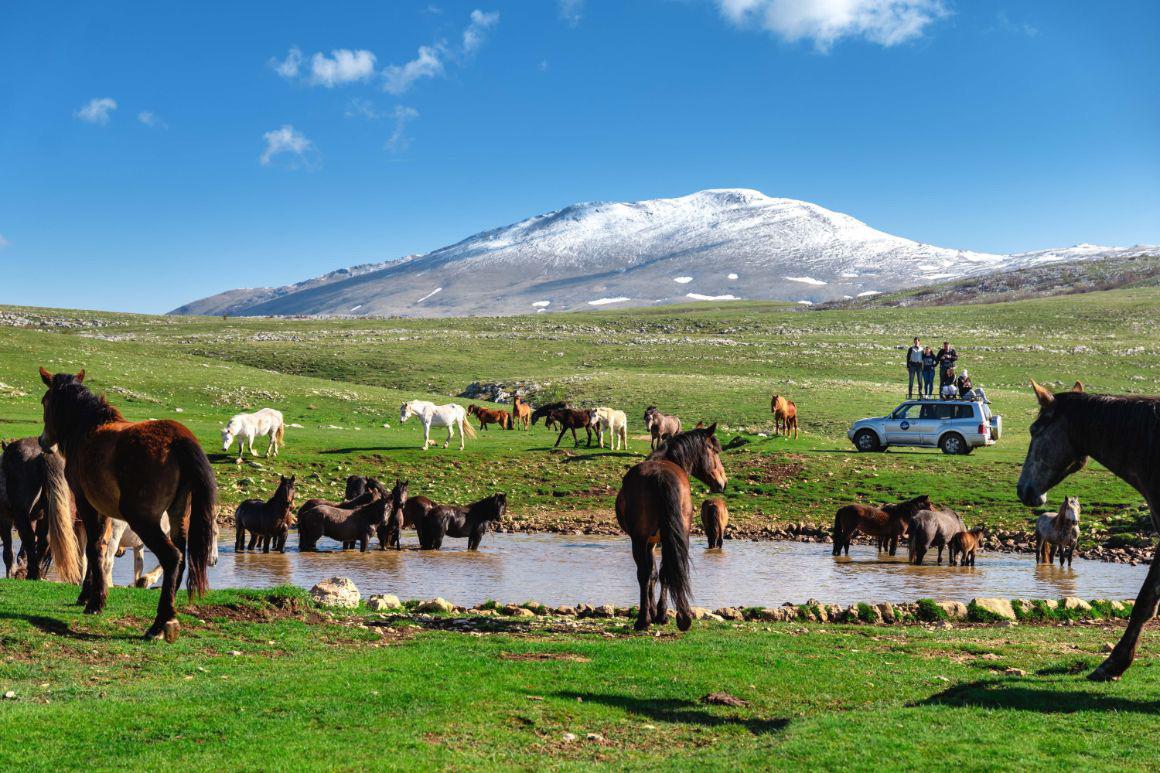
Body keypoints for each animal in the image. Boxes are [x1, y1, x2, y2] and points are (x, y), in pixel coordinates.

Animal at [36, 366, 215, 636]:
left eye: (45, 401)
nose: (42, 441)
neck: (88, 430)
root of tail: (178, 440)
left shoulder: (88, 504)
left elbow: (94, 549)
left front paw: (95, 601)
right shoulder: (103, 510)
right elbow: (97, 549)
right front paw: (88, 595)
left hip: (143, 519)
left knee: (172, 557)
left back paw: (161, 622)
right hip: (178, 514)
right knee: (181, 558)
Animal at [617, 424, 723, 631]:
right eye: (715, 451)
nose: (723, 482)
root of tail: (660, 475)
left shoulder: (649, 542)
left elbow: (650, 574)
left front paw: (651, 613)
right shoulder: (656, 541)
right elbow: (657, 574)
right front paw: (658, 613)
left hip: (639, 539)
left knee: (644, 574)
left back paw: (643, 619)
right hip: (675, 536)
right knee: (668, 571)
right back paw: (675, 617)